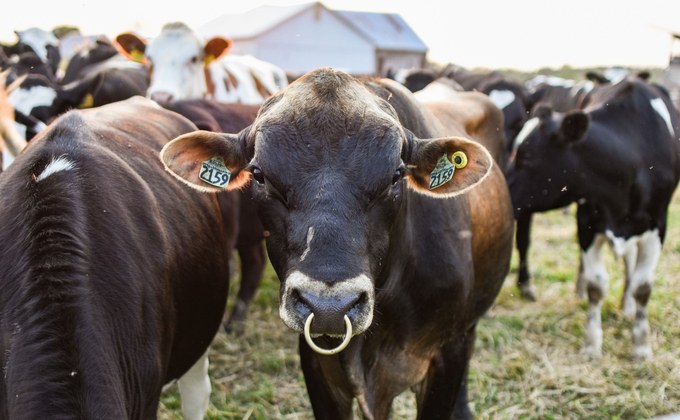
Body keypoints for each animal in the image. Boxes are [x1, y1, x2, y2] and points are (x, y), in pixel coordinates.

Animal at [506, 76, 680, 360]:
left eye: (527, 158)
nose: (501, 193)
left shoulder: (657, 226)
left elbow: (643, 287)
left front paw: (641, 346)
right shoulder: (587, 221)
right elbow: (596, 286)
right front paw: (591, 344)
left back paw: (627, 304)